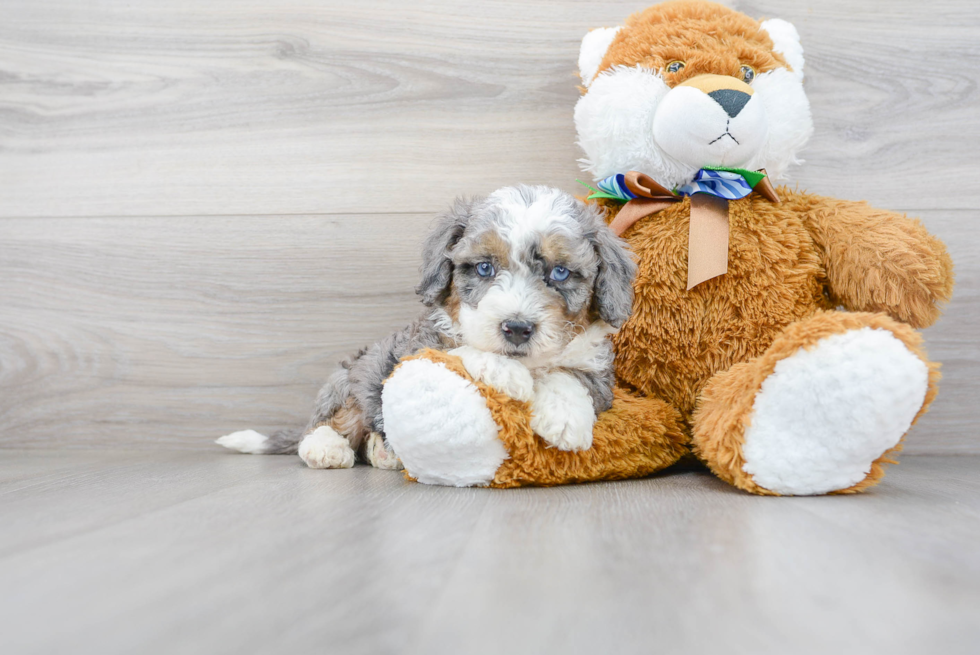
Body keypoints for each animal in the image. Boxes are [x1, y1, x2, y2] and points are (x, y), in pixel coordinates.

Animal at [216, 187, 636, 468]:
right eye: (484, 267)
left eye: (560, 272)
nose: (517, 328)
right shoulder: (416, 349)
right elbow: (460, 350)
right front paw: (509, 375)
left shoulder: (598, 370)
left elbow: (568, 376)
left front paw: (566, 422)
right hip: (353, 377)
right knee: (327, 422)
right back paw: (328, 448)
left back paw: (382, 452)